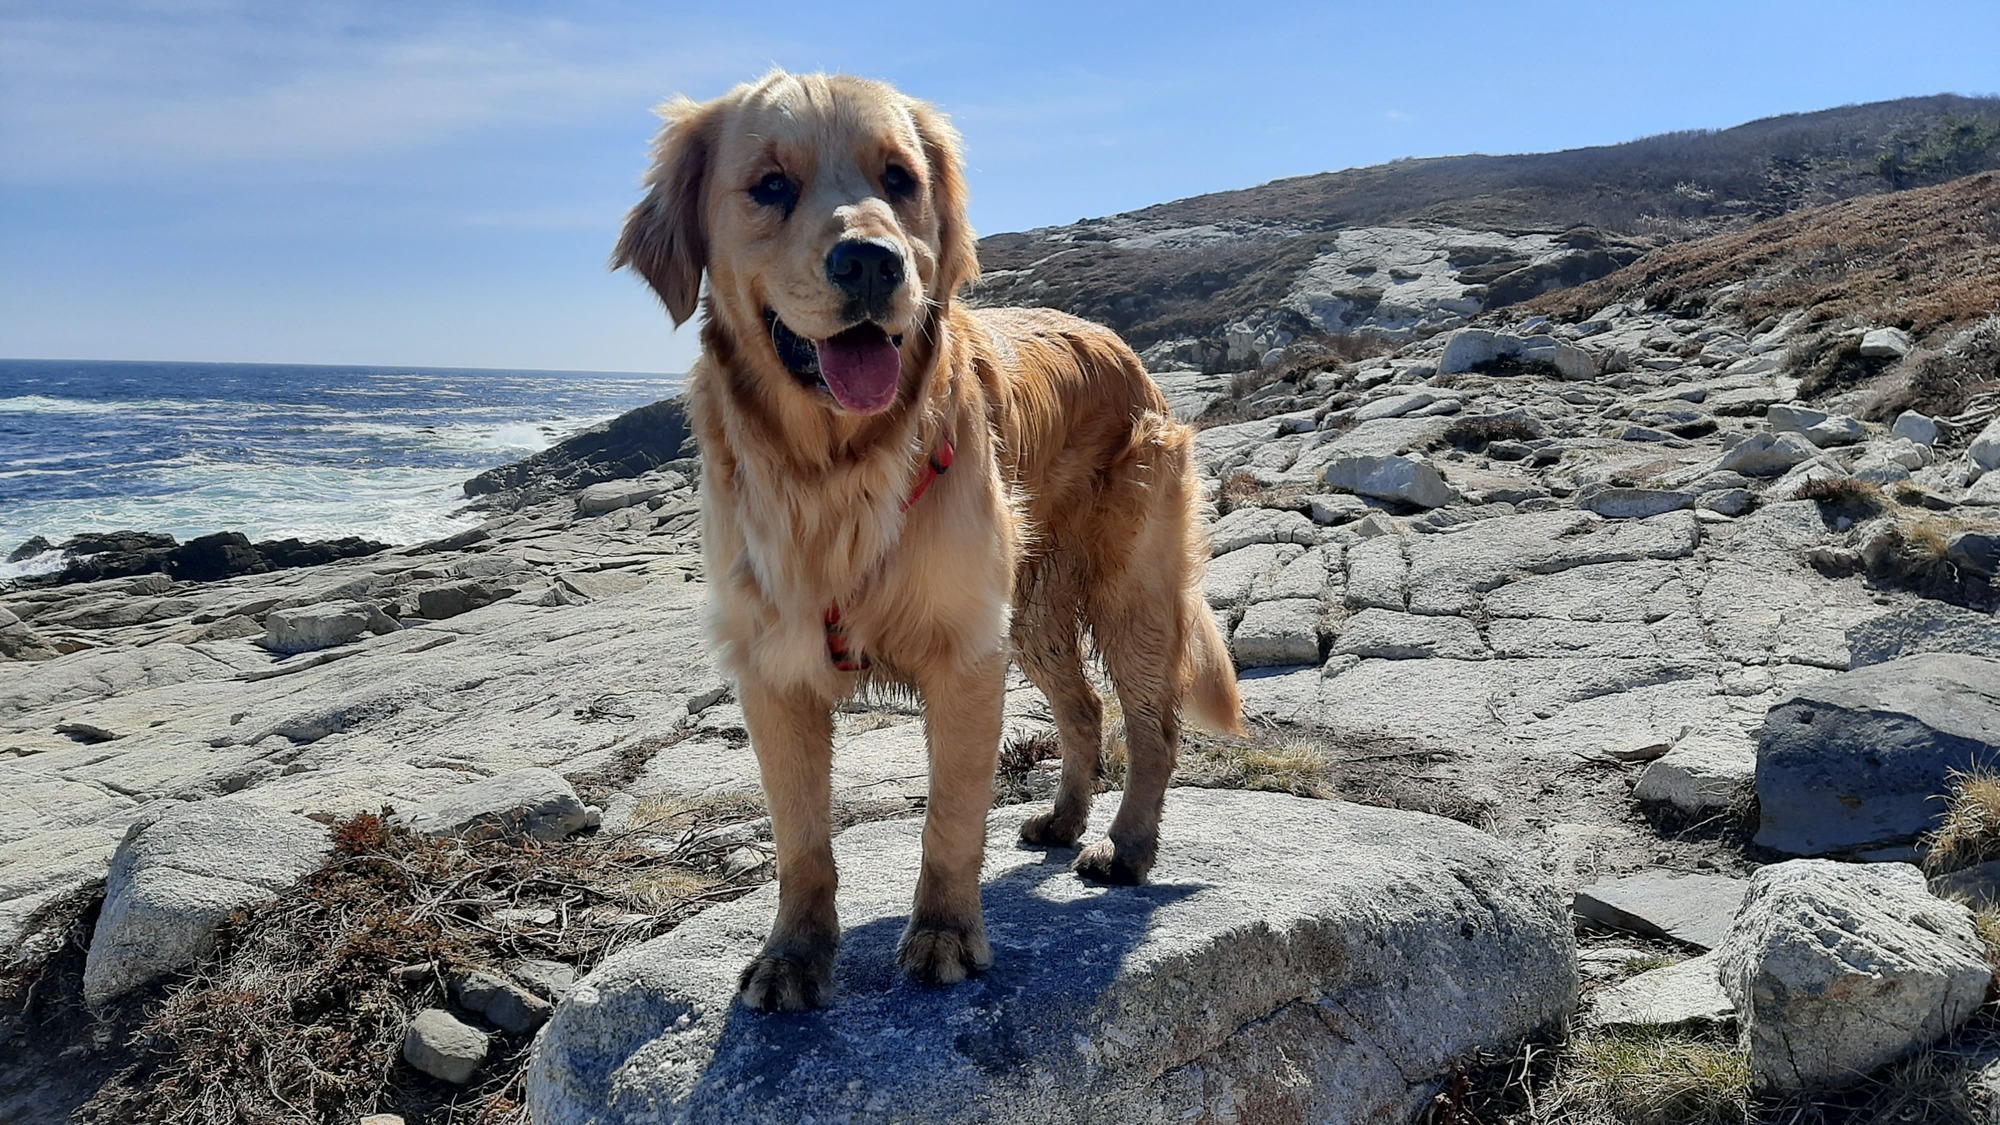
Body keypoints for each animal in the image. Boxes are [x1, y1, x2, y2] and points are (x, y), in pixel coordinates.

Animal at [612, 74, 1232, 1012]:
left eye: (900, 179)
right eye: (769, 185)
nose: (871, 262)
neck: (834, 469)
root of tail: (1124, 349)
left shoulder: (965, 650)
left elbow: (950, 817)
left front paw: (943, 932)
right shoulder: (772, 670)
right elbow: (801, 838)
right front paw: (795, 952)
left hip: (1130, 592)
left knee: (1153, 726)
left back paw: (1125, 847)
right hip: (1033, 613)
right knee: (1085, 709)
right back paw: (1065, 817)